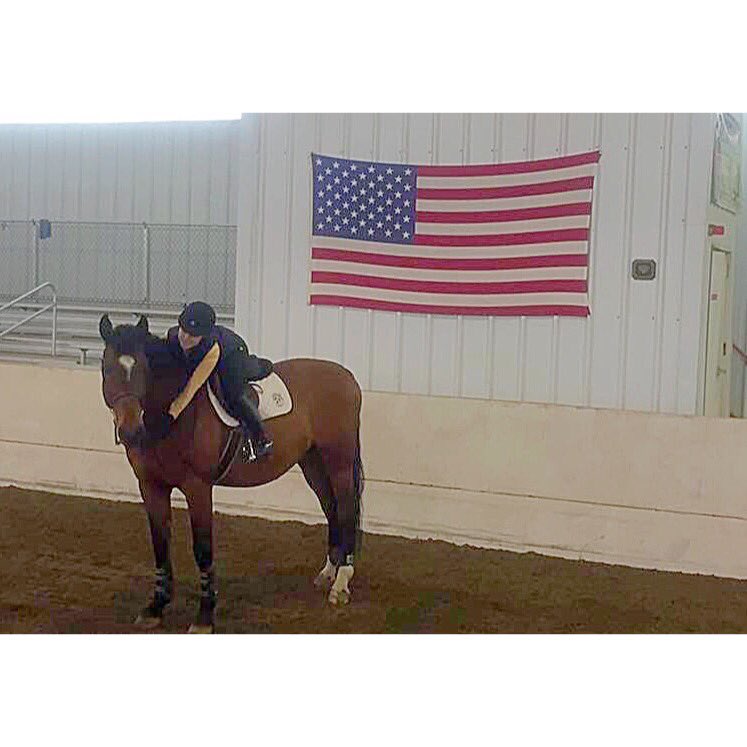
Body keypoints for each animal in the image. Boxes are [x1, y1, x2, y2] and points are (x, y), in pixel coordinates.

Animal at [98, 313, 364, 633]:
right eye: (107, 368)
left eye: (143, 368)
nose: (130, 432)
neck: (173, 416)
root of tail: (348, 377)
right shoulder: (151, 487)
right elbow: (160, 545)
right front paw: (155, 607)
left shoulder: (198, 488)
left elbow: (203, 550)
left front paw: (204, 617)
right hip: (313, 463)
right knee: (331, 508)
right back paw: (328, 572)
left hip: (339, 462)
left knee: (346, 511)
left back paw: (341, 583)